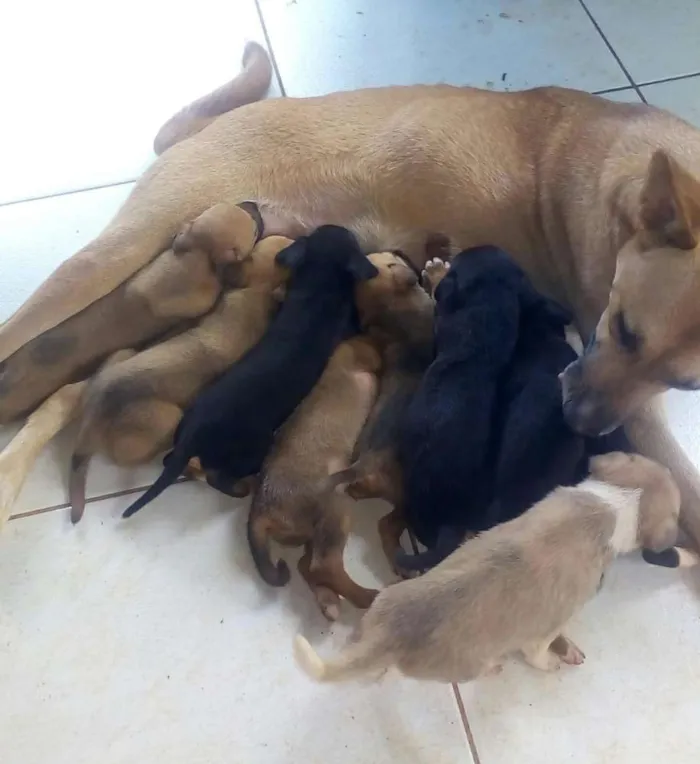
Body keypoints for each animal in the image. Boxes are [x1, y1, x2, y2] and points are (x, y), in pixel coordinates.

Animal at [123, 222, 380, 520]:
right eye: (350, 236)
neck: (320, 279)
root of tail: (191, 435)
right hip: (254, 450)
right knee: (218, 478)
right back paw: (243, 487)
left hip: (185, 445)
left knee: (174, 461)